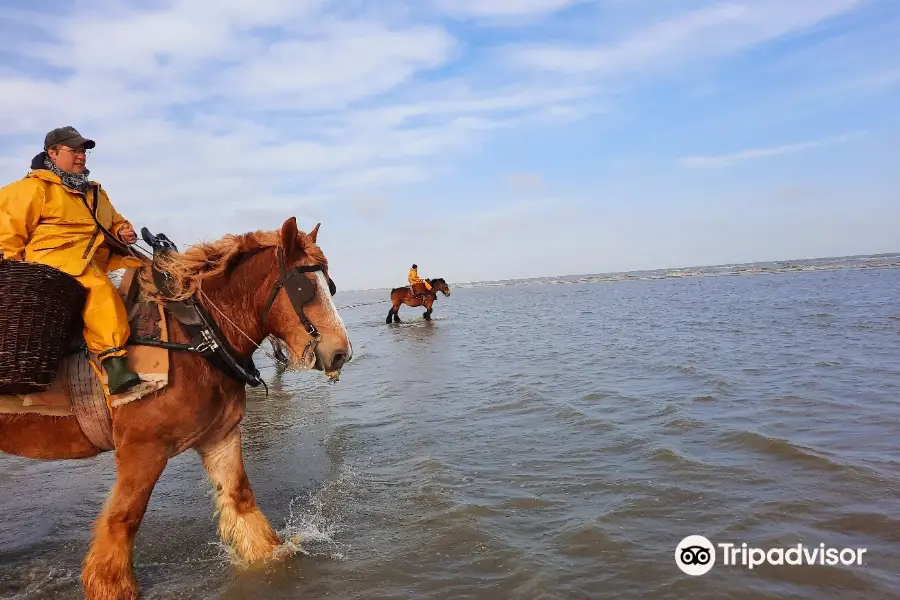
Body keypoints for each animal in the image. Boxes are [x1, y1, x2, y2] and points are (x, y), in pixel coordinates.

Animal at [0, 217, 352, 600]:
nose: (341, 353)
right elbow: (123, 519)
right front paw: (111, 586)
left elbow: (241, 498)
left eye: (331, 286)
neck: (195, 335)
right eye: (304, 287)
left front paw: (268, 557)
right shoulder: (142, 449)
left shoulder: (220, 436)